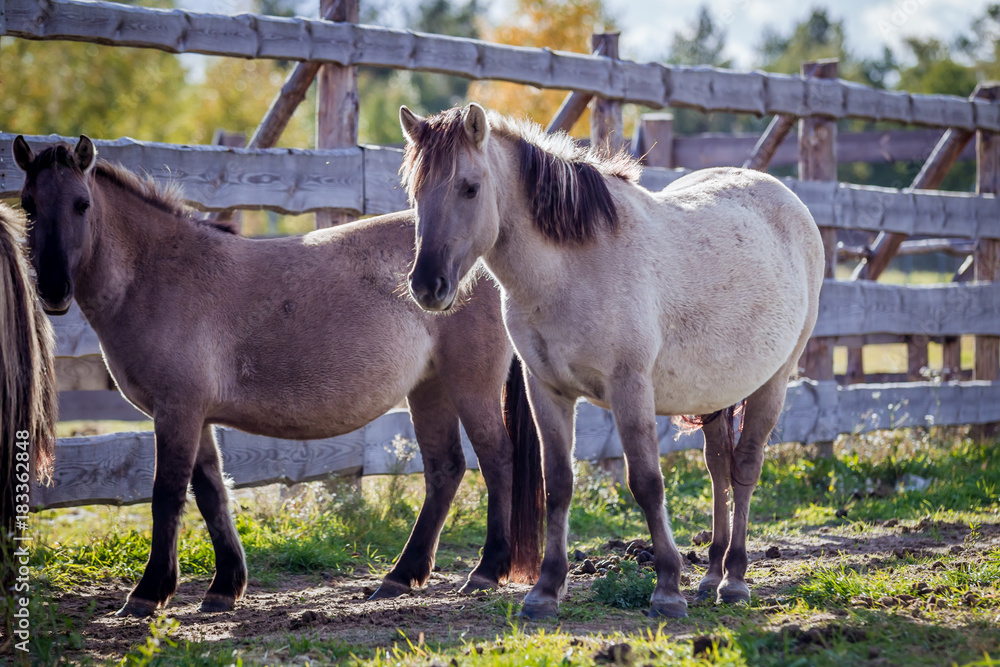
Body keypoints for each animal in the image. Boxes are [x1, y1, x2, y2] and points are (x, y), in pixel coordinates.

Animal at [13, 135, 543, 618]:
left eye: (82, 204)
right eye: (28, 205)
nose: (54, 290)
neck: (158, 272)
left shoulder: (177, 411)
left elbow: (168, 494)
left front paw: (149, 592)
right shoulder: (196, 417)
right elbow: (212, 494)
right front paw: (224, 587)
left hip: (469, 384)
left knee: (497, 460)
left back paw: (486, 570)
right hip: (429, 389)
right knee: (444, 471)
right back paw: (399, 576)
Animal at [398, 103, 824, 619]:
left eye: (470, 187)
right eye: (415, 192)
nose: (428, 285)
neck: (571, 270)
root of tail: (787, 198)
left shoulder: (630, 387)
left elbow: (647, 483)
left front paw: (667, 588)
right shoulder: (547, 390)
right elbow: (558, 484)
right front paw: (545, 590)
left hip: (772, 382)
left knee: (744, 468)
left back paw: (735, 579)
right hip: (718, 392)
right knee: (719, 464)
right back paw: (711, 574)